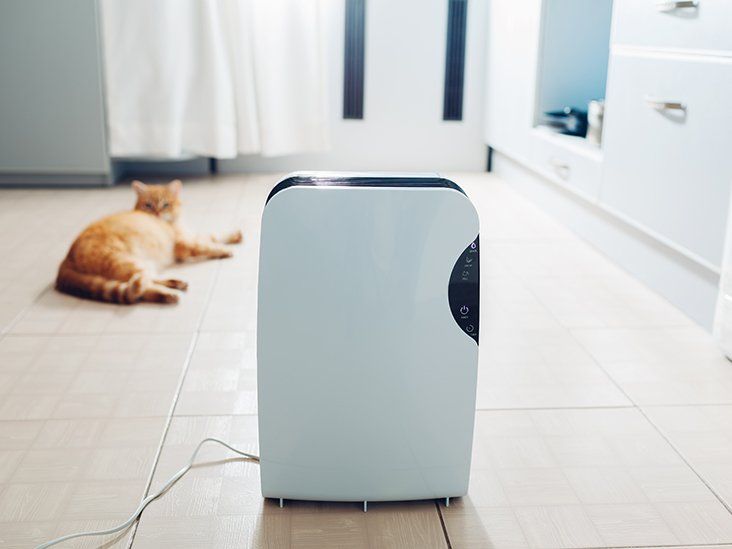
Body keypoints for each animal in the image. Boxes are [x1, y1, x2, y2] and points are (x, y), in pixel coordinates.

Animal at [58, 182, 240, 306]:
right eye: (148, 205)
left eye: (166, 204)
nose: (157, 213)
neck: (173, 223)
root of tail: (66, 259)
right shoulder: (184, 244)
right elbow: (206, 246)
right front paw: (224, 250)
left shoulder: (189, 234)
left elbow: (212, 235)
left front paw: (234, 235)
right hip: (125, 260)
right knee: (140, 288)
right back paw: (168, 294)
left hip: (141, 265)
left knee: (146, 281)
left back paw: (175, 284)